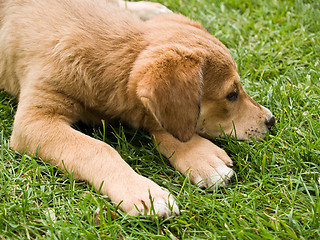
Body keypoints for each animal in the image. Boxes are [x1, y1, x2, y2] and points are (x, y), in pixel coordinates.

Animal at [0, 0, 276, 218]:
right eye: (231, 94)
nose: (271, 121)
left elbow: (163, 124)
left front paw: (200, 157)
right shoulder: (34, 119)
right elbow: (97, 148)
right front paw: (145, 192)